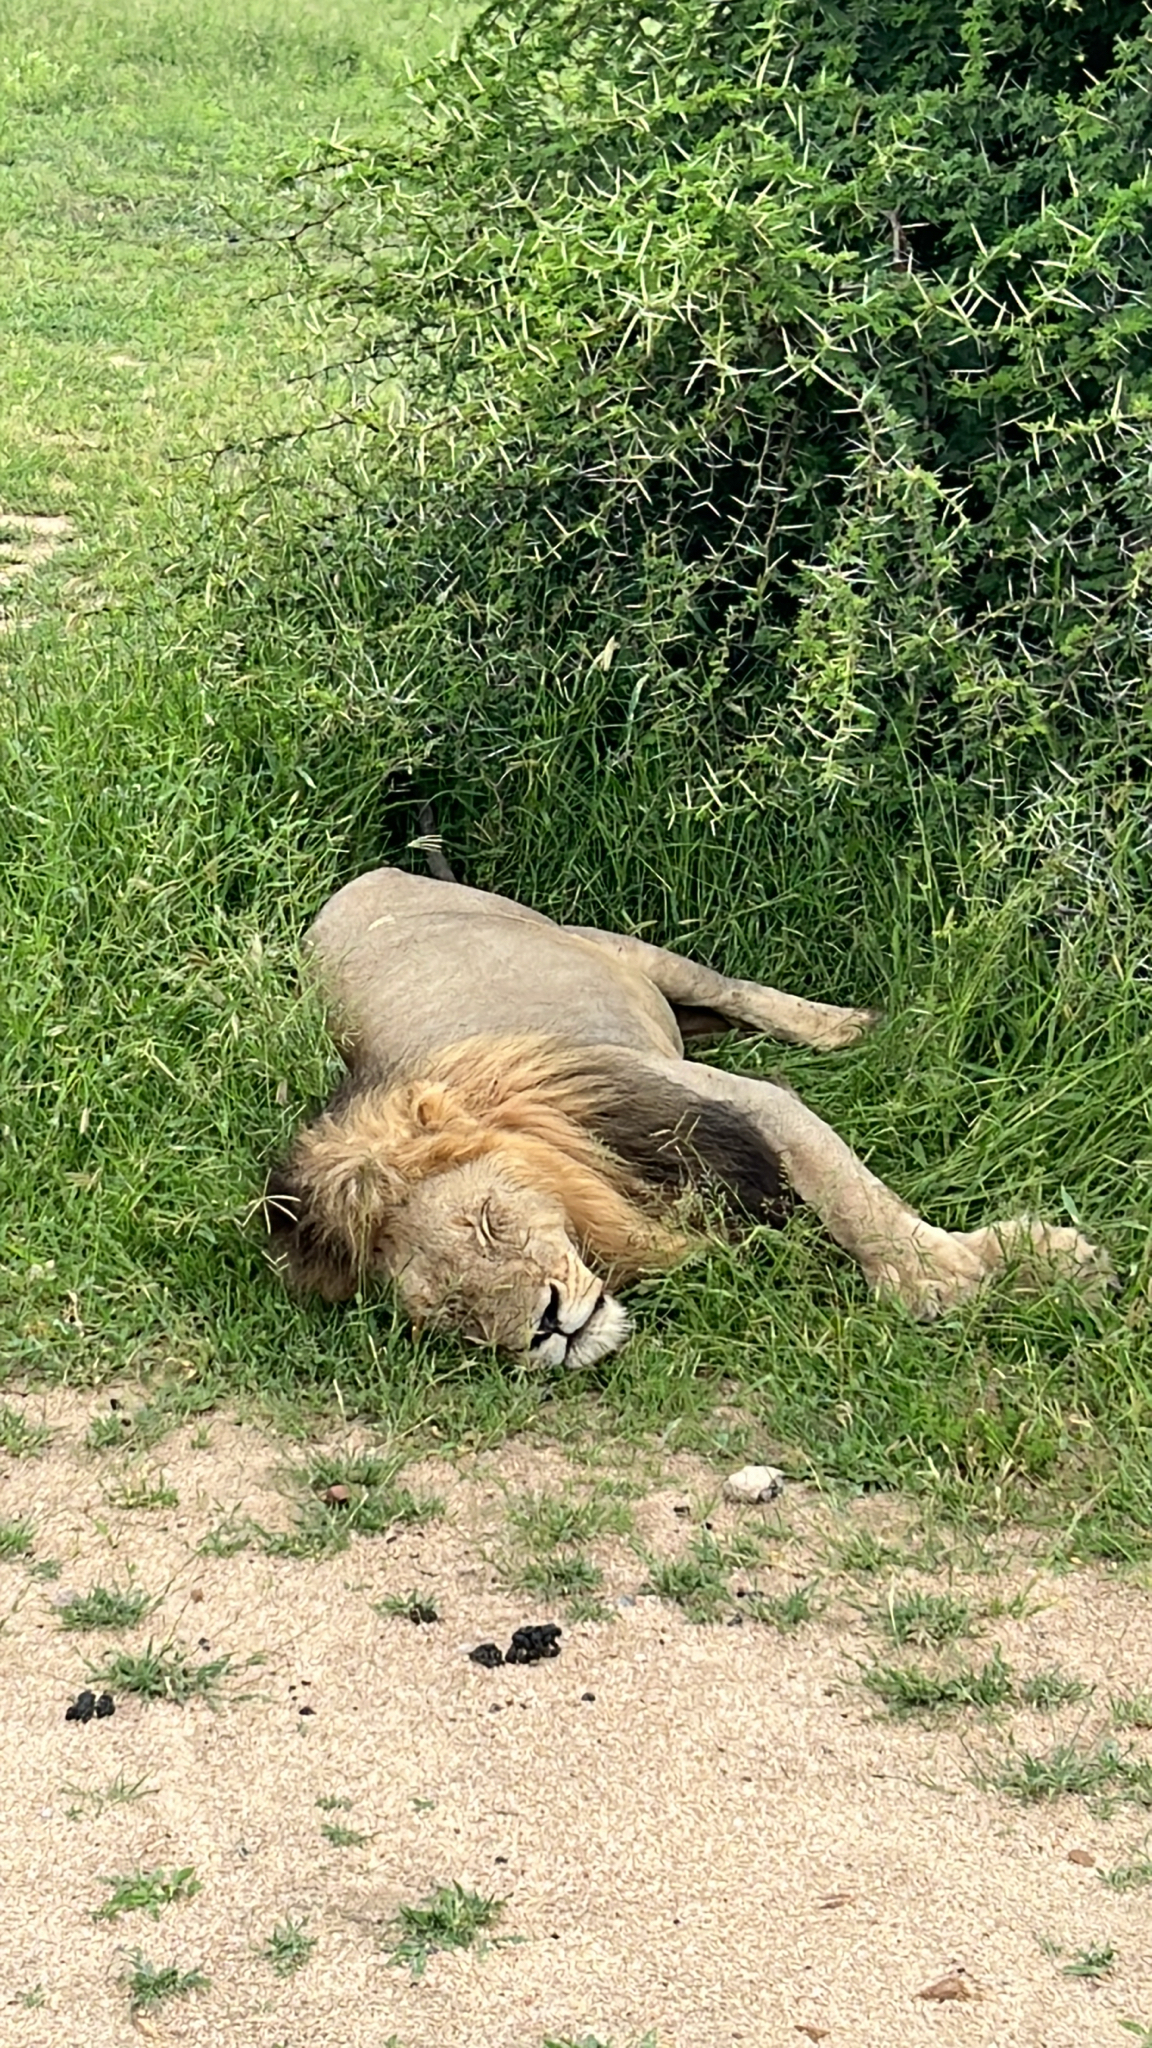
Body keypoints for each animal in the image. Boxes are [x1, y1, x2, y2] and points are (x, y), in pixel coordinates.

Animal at [265, 864, 1111, 1366]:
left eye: (489, 1223)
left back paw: (856, 1029)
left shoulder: (737, 1105)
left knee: (735, 991)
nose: (547, 1328)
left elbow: (858, 1202)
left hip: (606, 943)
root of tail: (362, 878)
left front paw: (965, 1274)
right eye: (448, 1310)